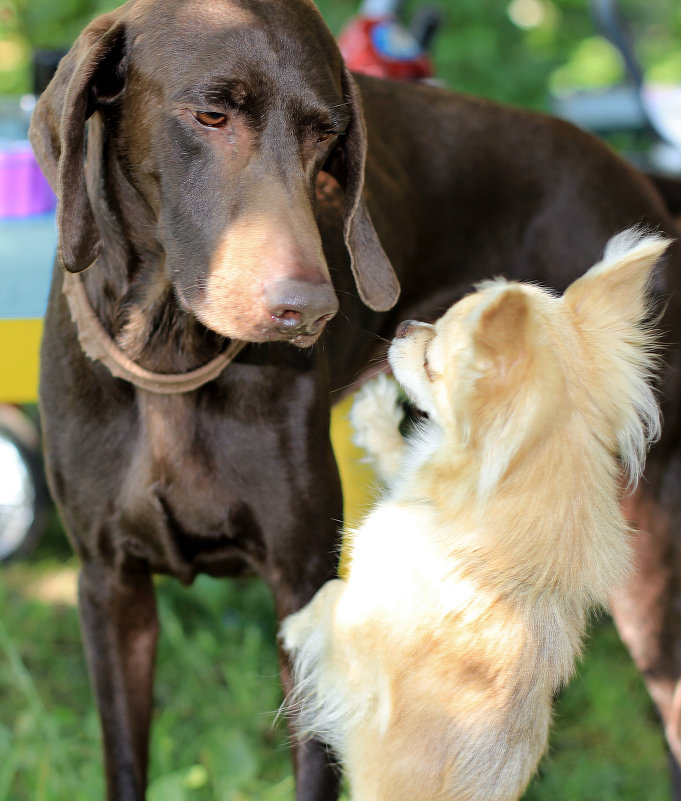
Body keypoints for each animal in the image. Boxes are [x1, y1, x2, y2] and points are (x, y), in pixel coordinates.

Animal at [280, 227, 668, 800]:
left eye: (431, 361)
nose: (405, 325)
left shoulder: (361, 654)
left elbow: (331, 597)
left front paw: (295, 623)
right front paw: (378, 422)